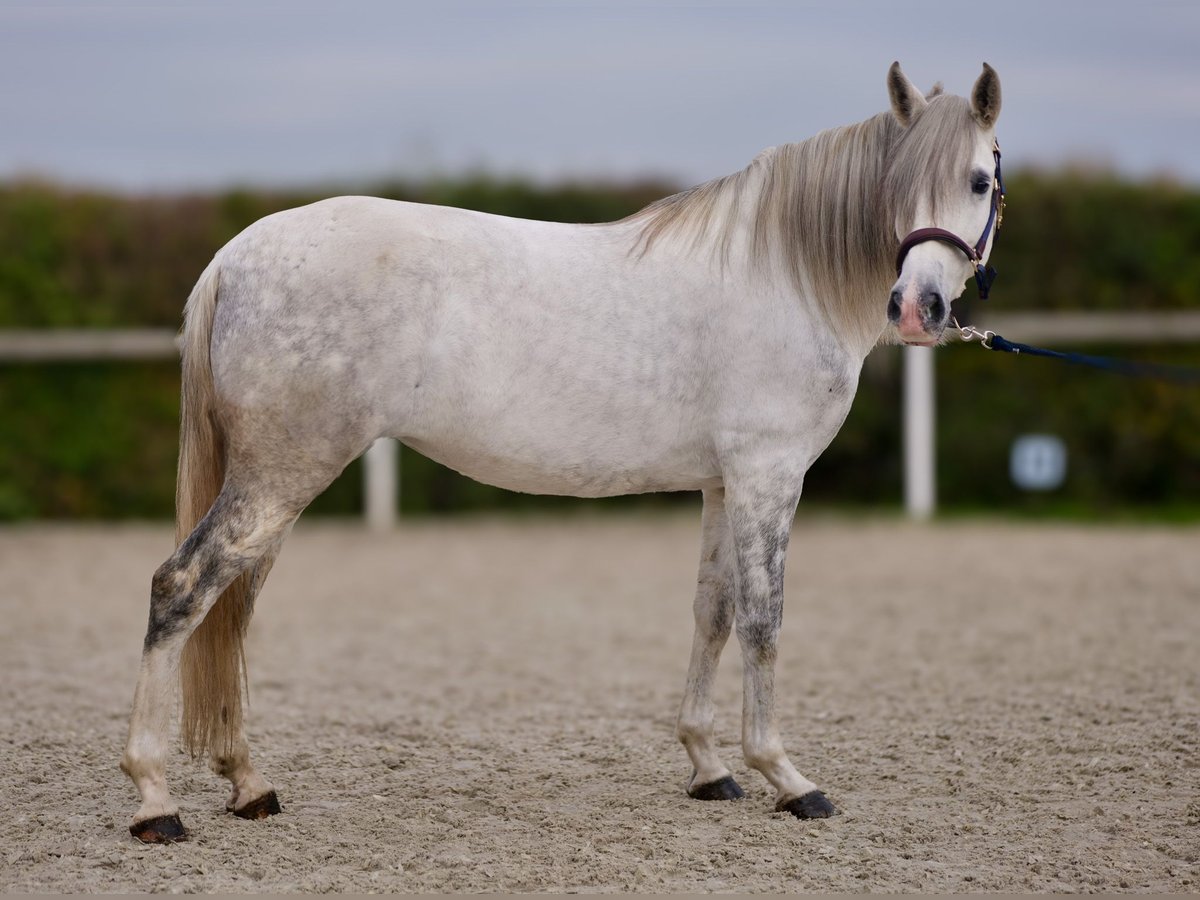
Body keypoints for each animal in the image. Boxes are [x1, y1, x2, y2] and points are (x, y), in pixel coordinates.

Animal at [121, 63, 1003, 844]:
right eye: (905, 182)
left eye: (979, 181)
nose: (917, 308)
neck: (783, 275)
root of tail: (235, 258)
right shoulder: (769, 475)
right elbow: (764, 621)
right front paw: (787, 779)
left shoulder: (724, 485)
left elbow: (712, 613)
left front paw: (709, 767)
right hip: (280, 478)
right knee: (183, 588)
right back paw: (156, 800)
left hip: (274, 483)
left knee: (229, 612)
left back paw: (247, 783)